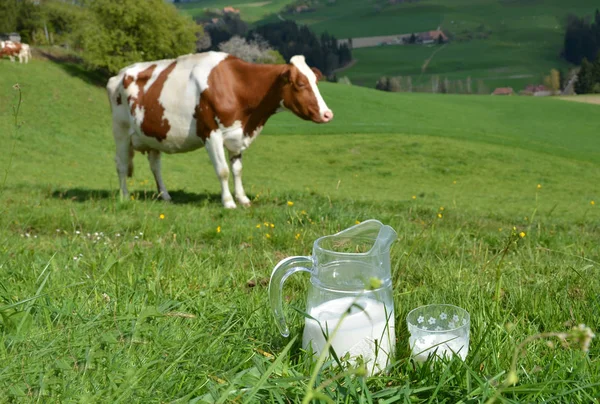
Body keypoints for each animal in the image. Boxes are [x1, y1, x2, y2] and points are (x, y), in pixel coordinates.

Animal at [106, 51, 332, 208]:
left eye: (315, 80)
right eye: (301, 83)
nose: (328, 114)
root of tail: (118, 74)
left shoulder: (237, 133)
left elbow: (237, 170)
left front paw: (243, 199)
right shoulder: (211, 133)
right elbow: (223, 170)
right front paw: (229, 202)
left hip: (152, 135)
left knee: (155, 166)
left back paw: (165, 195)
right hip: (120, 132)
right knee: (121, 165)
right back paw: (125, 196)